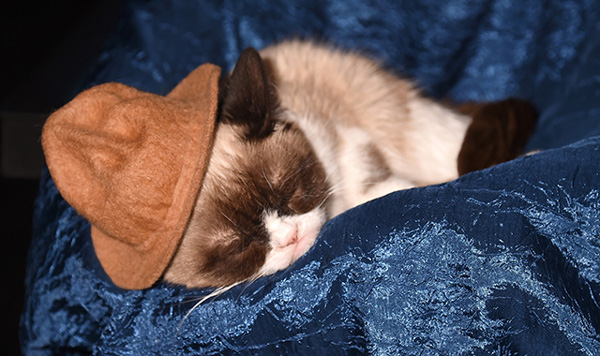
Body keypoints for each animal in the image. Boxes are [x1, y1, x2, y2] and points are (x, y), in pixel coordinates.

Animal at [163, 39, 536, 290]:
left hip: (419, 127)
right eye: (239, 245)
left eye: (291, 191)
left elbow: (382, 188)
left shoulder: (349, 145)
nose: (289, 237)